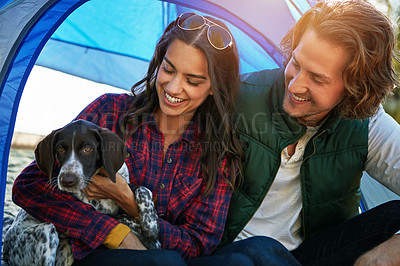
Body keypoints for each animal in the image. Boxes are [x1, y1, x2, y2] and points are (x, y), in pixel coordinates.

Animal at [1, 120, 161, 266]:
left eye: (88, 148)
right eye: (60, 149)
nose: (67, 180)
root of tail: (6, 251)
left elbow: (144, 189)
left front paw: (150, 226)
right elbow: (117, 219)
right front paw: (146, 231)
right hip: (46, 232)